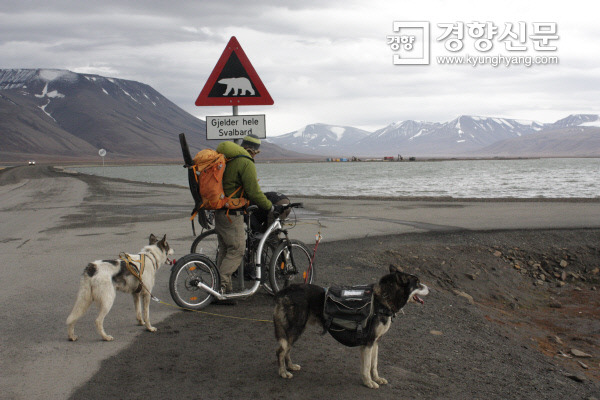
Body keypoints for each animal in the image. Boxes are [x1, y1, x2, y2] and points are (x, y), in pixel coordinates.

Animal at [274, 266, 428, 388]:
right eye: (418, 283)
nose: (429, 288)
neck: (381, 300)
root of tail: (287, 290)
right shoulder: (368, 343)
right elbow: (367, 366)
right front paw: (369, 382)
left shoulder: (375, 342)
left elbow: (374, 364)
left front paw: (376, 378)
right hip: (294, 330)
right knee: (281, 351)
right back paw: (283, 372)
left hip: (296, 331)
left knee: (287, 350)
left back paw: (290, 366)